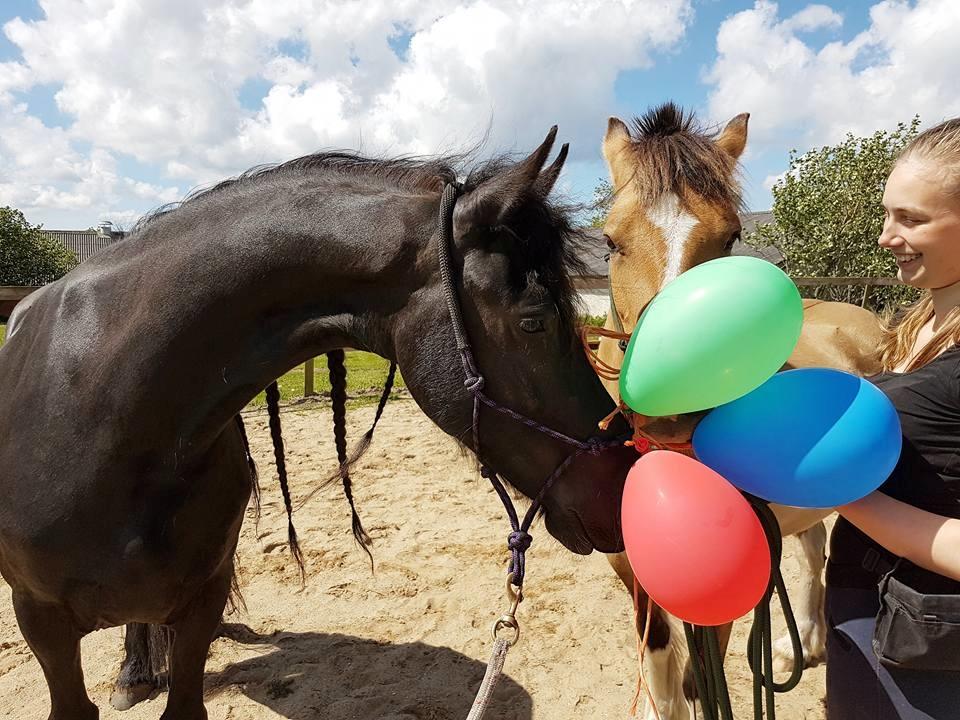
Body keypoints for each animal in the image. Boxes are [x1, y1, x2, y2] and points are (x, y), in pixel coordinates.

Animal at [600, 102, 884, 720]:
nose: (672, 405)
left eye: (732, 237)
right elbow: (663, 681)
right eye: (608, 242)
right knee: (813, 549)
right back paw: (805, 644)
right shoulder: (634, 574)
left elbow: (700, 688)